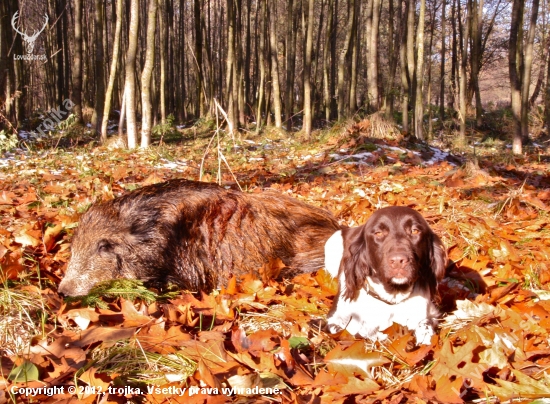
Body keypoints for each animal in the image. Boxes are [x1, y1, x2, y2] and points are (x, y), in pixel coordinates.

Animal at [324, 208, 448, 344]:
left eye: (415, 230)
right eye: (378, 233)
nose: (398, 260)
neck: (392, 296)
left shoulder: (429, 313)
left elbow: (425, 326)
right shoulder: (334, 319)